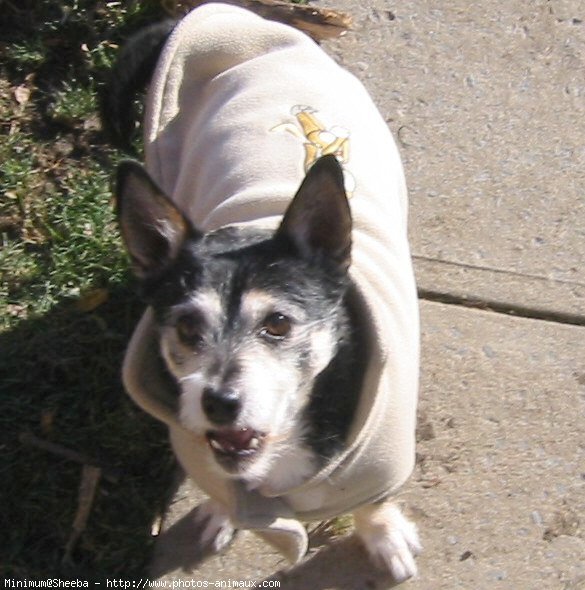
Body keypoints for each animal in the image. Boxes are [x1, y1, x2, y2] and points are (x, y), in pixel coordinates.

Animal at [104, 2, 420, 584]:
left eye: (278, 324)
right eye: (187, 326)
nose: (219, 403)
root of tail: (224, 14)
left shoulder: (378, 466)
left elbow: (373, 501)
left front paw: (384, 536)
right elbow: (223, 492)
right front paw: (221, 512)